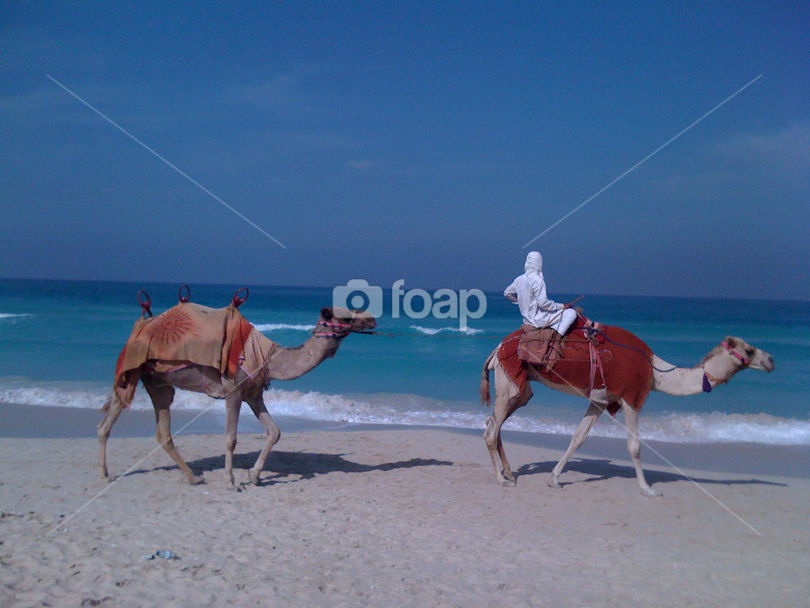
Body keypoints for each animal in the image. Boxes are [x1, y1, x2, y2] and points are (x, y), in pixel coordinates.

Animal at [98, 305, 376, 486]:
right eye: (346, 317)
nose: (373, 319)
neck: (268, 356)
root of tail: (138, 329)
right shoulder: (233, 391)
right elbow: (231, 438)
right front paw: (231, 480)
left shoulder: (253, 393)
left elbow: (275, 432)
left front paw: (255, 476)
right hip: (138, 372)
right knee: (114, 417)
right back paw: (106, 474)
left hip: (159, 383)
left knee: (158, 430)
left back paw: (192, 477)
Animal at [480, 322, 774, 495]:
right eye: (749, 350)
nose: (771, 359)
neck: (655, 373)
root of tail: (497, 348)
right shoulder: (631, 398)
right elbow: (635, 446)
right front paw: (647, 488)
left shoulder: (600, 400)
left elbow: (578, 437)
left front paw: (554, 478)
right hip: (509, 381)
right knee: (491, 430)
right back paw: (502, 480)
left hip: (521, 388)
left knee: (495, 423)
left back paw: (510, 473)